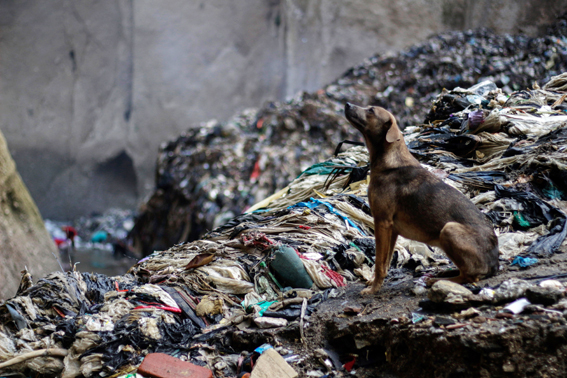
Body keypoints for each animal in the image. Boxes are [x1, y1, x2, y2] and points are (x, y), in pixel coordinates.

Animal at [344, 103, 500, 296]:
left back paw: (437, 280)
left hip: (449, 230)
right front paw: (375, 283)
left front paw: (373, 289)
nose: (347, 104)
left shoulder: (382, 222)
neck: (389, 161)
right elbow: (386, 261)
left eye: (371, 110)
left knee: (470, 276)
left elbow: (379, 263)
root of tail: (495, 263)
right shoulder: (392, 229)